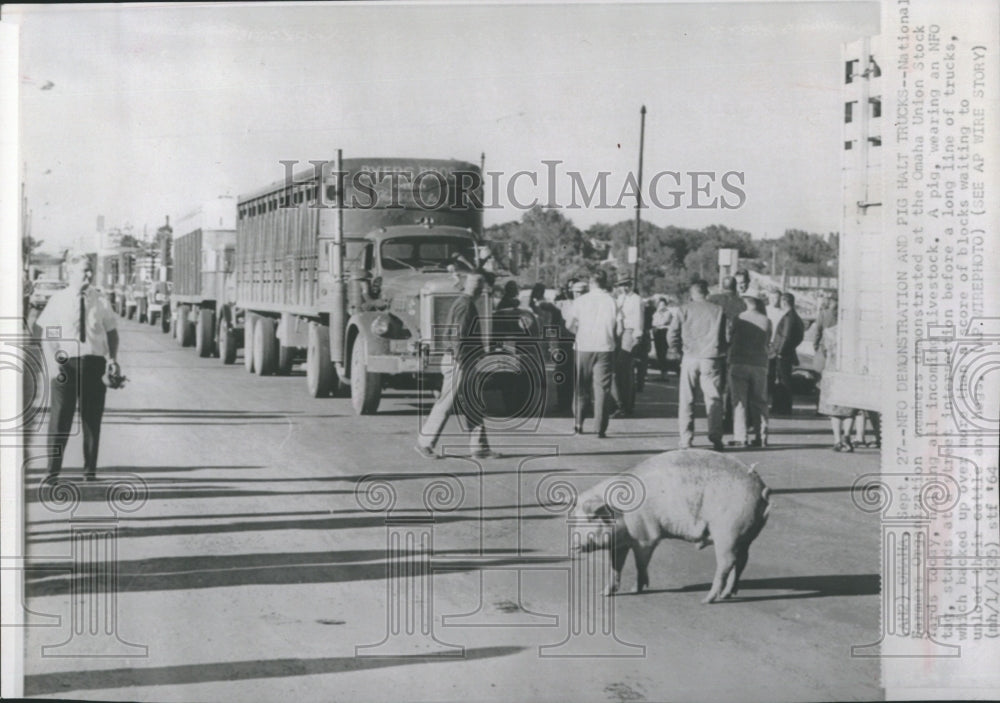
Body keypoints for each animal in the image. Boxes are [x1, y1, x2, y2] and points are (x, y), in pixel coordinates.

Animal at [572, 448, 772, 604]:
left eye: (591, 518)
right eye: (574, 519)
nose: (573, 545)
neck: (621, 513)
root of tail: (762, 490)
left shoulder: (646, 537)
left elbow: (640, 564)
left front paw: (634, 589)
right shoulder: (620, 543)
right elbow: (615, 567)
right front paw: (603, 593)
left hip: (728, 531)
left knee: (727, 562)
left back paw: (707, 600)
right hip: (744, 536)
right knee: (742, 560)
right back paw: (726, 594)